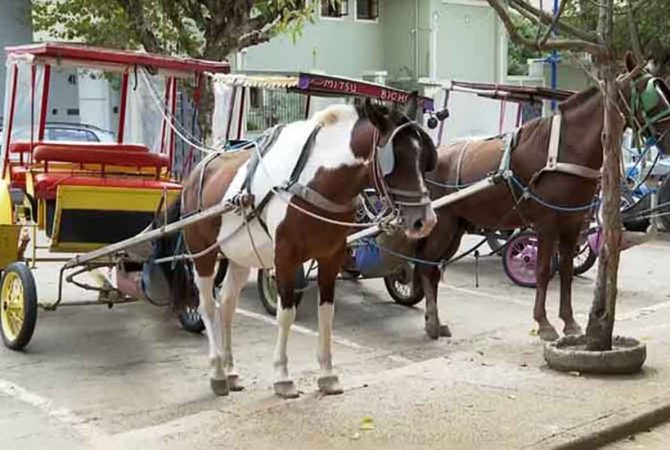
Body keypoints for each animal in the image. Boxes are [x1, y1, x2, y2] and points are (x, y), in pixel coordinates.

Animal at [158, 96, 438, 397]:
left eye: (423, 158)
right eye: (397, 160)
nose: (425, 221)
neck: (313, 182)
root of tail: (195, 174)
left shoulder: (331, 256)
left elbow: (326, 312)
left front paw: (327, 374)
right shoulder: (284, 258)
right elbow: (286, 313)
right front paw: (282, 376)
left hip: (240, 256)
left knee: (228, 304)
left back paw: (231, 370)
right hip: (204, 253)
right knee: (208, 306)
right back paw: (218, 372)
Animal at [414, 52, 670, 341]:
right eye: (651, 95)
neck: (564, 152)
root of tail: (431, 157)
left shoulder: (572, 224)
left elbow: (566, 271)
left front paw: (569, 322)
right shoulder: (547, 223)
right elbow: (543, 269)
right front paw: (544, 323)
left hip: (456, 227)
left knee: (434, 268)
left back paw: (434, 322)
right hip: (442, 225)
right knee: (426, 265)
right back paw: (432, 322)